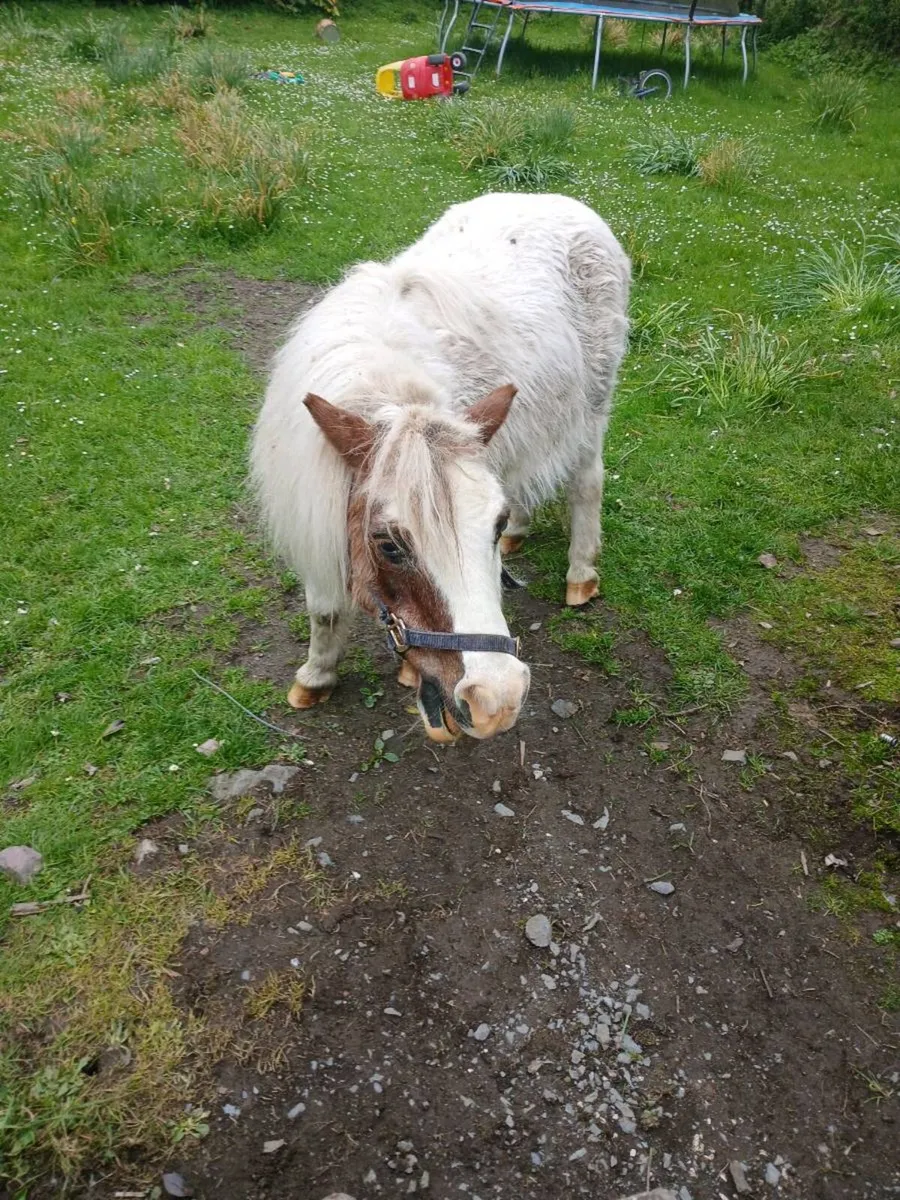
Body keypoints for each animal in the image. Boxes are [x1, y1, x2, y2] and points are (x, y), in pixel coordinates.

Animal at [251, 192, 630, 743]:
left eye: (488, 527)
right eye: (389, 544)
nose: (497, 701)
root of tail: (563, 202)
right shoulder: (317, 509)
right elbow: (323, 609)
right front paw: (317, 675)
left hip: (592, 409)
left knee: (586, 483)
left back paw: (580, 574)